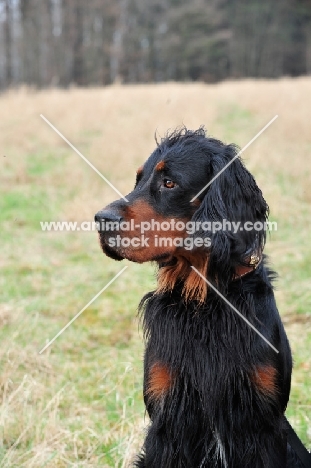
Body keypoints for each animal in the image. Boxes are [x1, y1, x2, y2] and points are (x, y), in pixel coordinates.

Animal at [95, 128, 304, 468]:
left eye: (169, 183)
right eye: (138, 180)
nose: (101, 219)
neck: (205, 299)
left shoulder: (263, 424)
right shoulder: (168, 420)